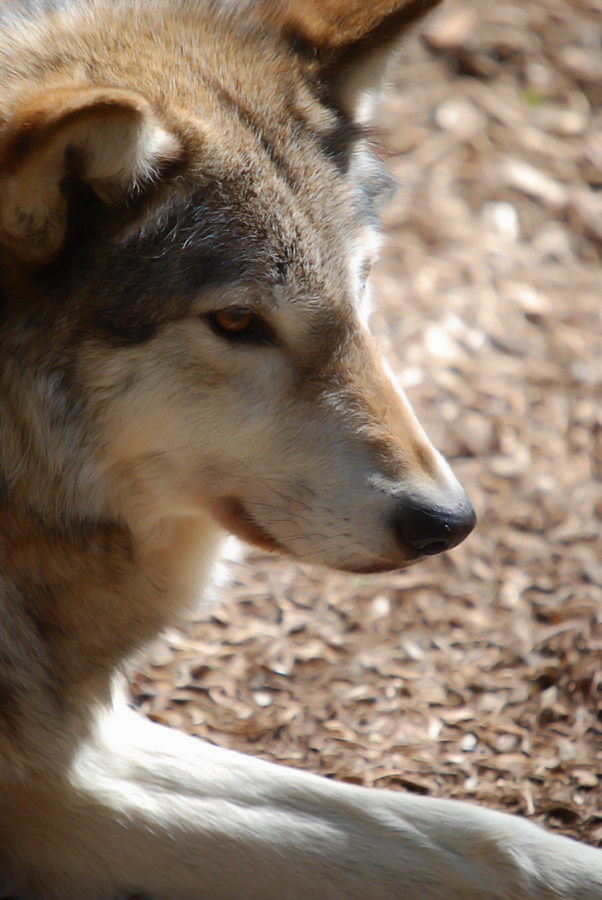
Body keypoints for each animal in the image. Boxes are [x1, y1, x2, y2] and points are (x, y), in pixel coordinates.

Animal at [0, 0, 600, 897]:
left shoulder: (68, 754)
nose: (448, 523)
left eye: (363, 285)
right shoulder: (52, 781)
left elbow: (475, 840)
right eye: (237, 321)